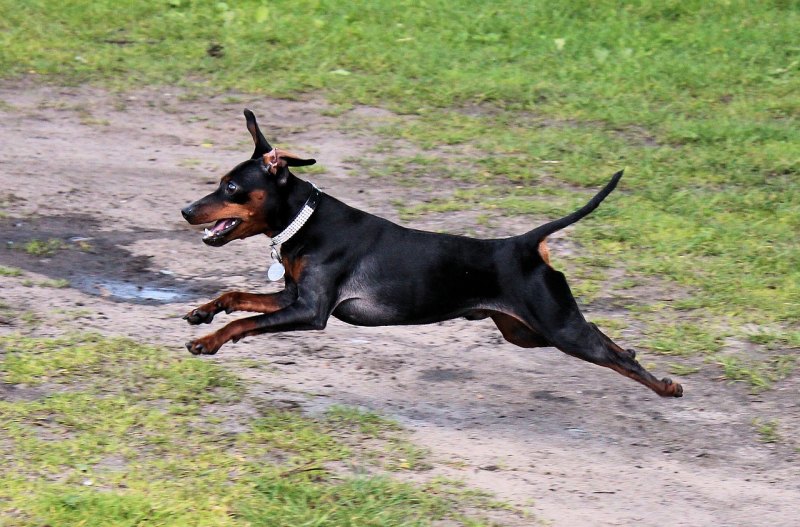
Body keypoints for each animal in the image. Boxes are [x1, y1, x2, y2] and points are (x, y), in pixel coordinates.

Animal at [181, 112, 680, 400]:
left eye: (230, 187)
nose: (186, 210)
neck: (306, 220)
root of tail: (525, 242)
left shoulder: (311, 311)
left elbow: (247, 322)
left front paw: (210, 340)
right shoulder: (292, 297)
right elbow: (236, 296)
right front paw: (204, 312)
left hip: (557, 329)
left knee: (614, 355)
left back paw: (666, 386)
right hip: (528, 332)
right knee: (606, 339)